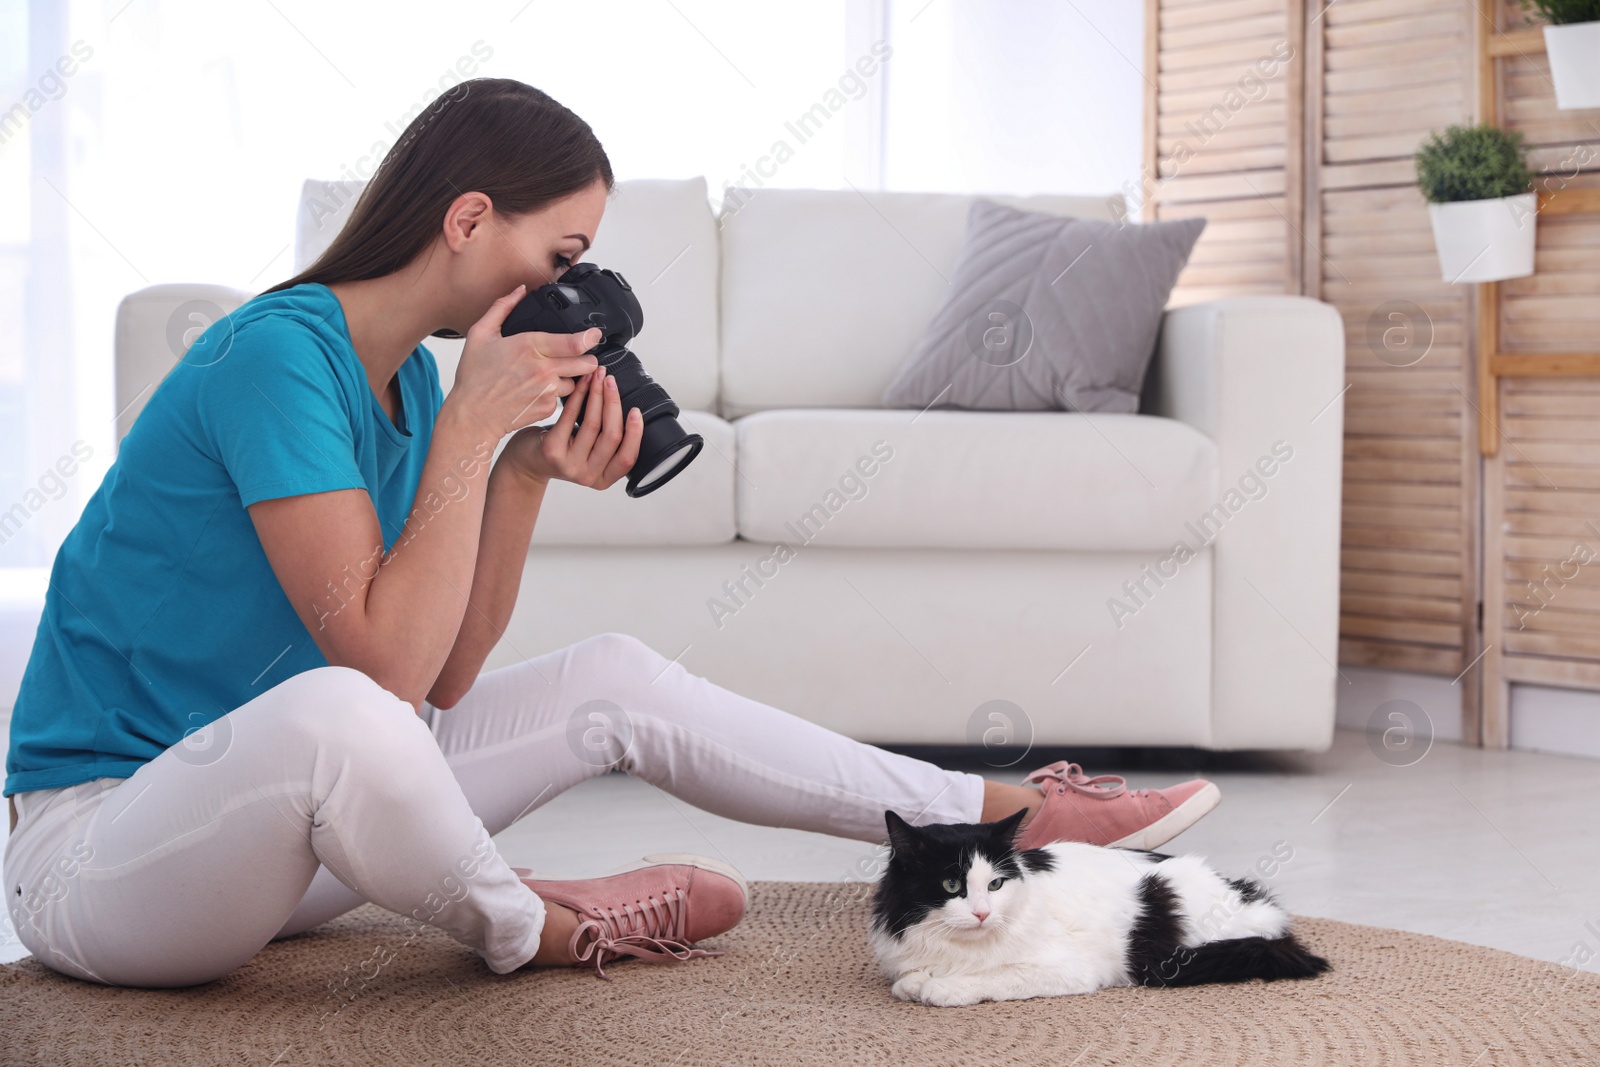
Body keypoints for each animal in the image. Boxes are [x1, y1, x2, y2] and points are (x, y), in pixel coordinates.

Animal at [870, 809, 1331, 1011]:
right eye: (951, 886)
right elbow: (911, 977)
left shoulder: (1067, 968)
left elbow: (991, 976)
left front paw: (944, 987)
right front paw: (920, 981)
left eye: (996, 884)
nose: (983, 913)